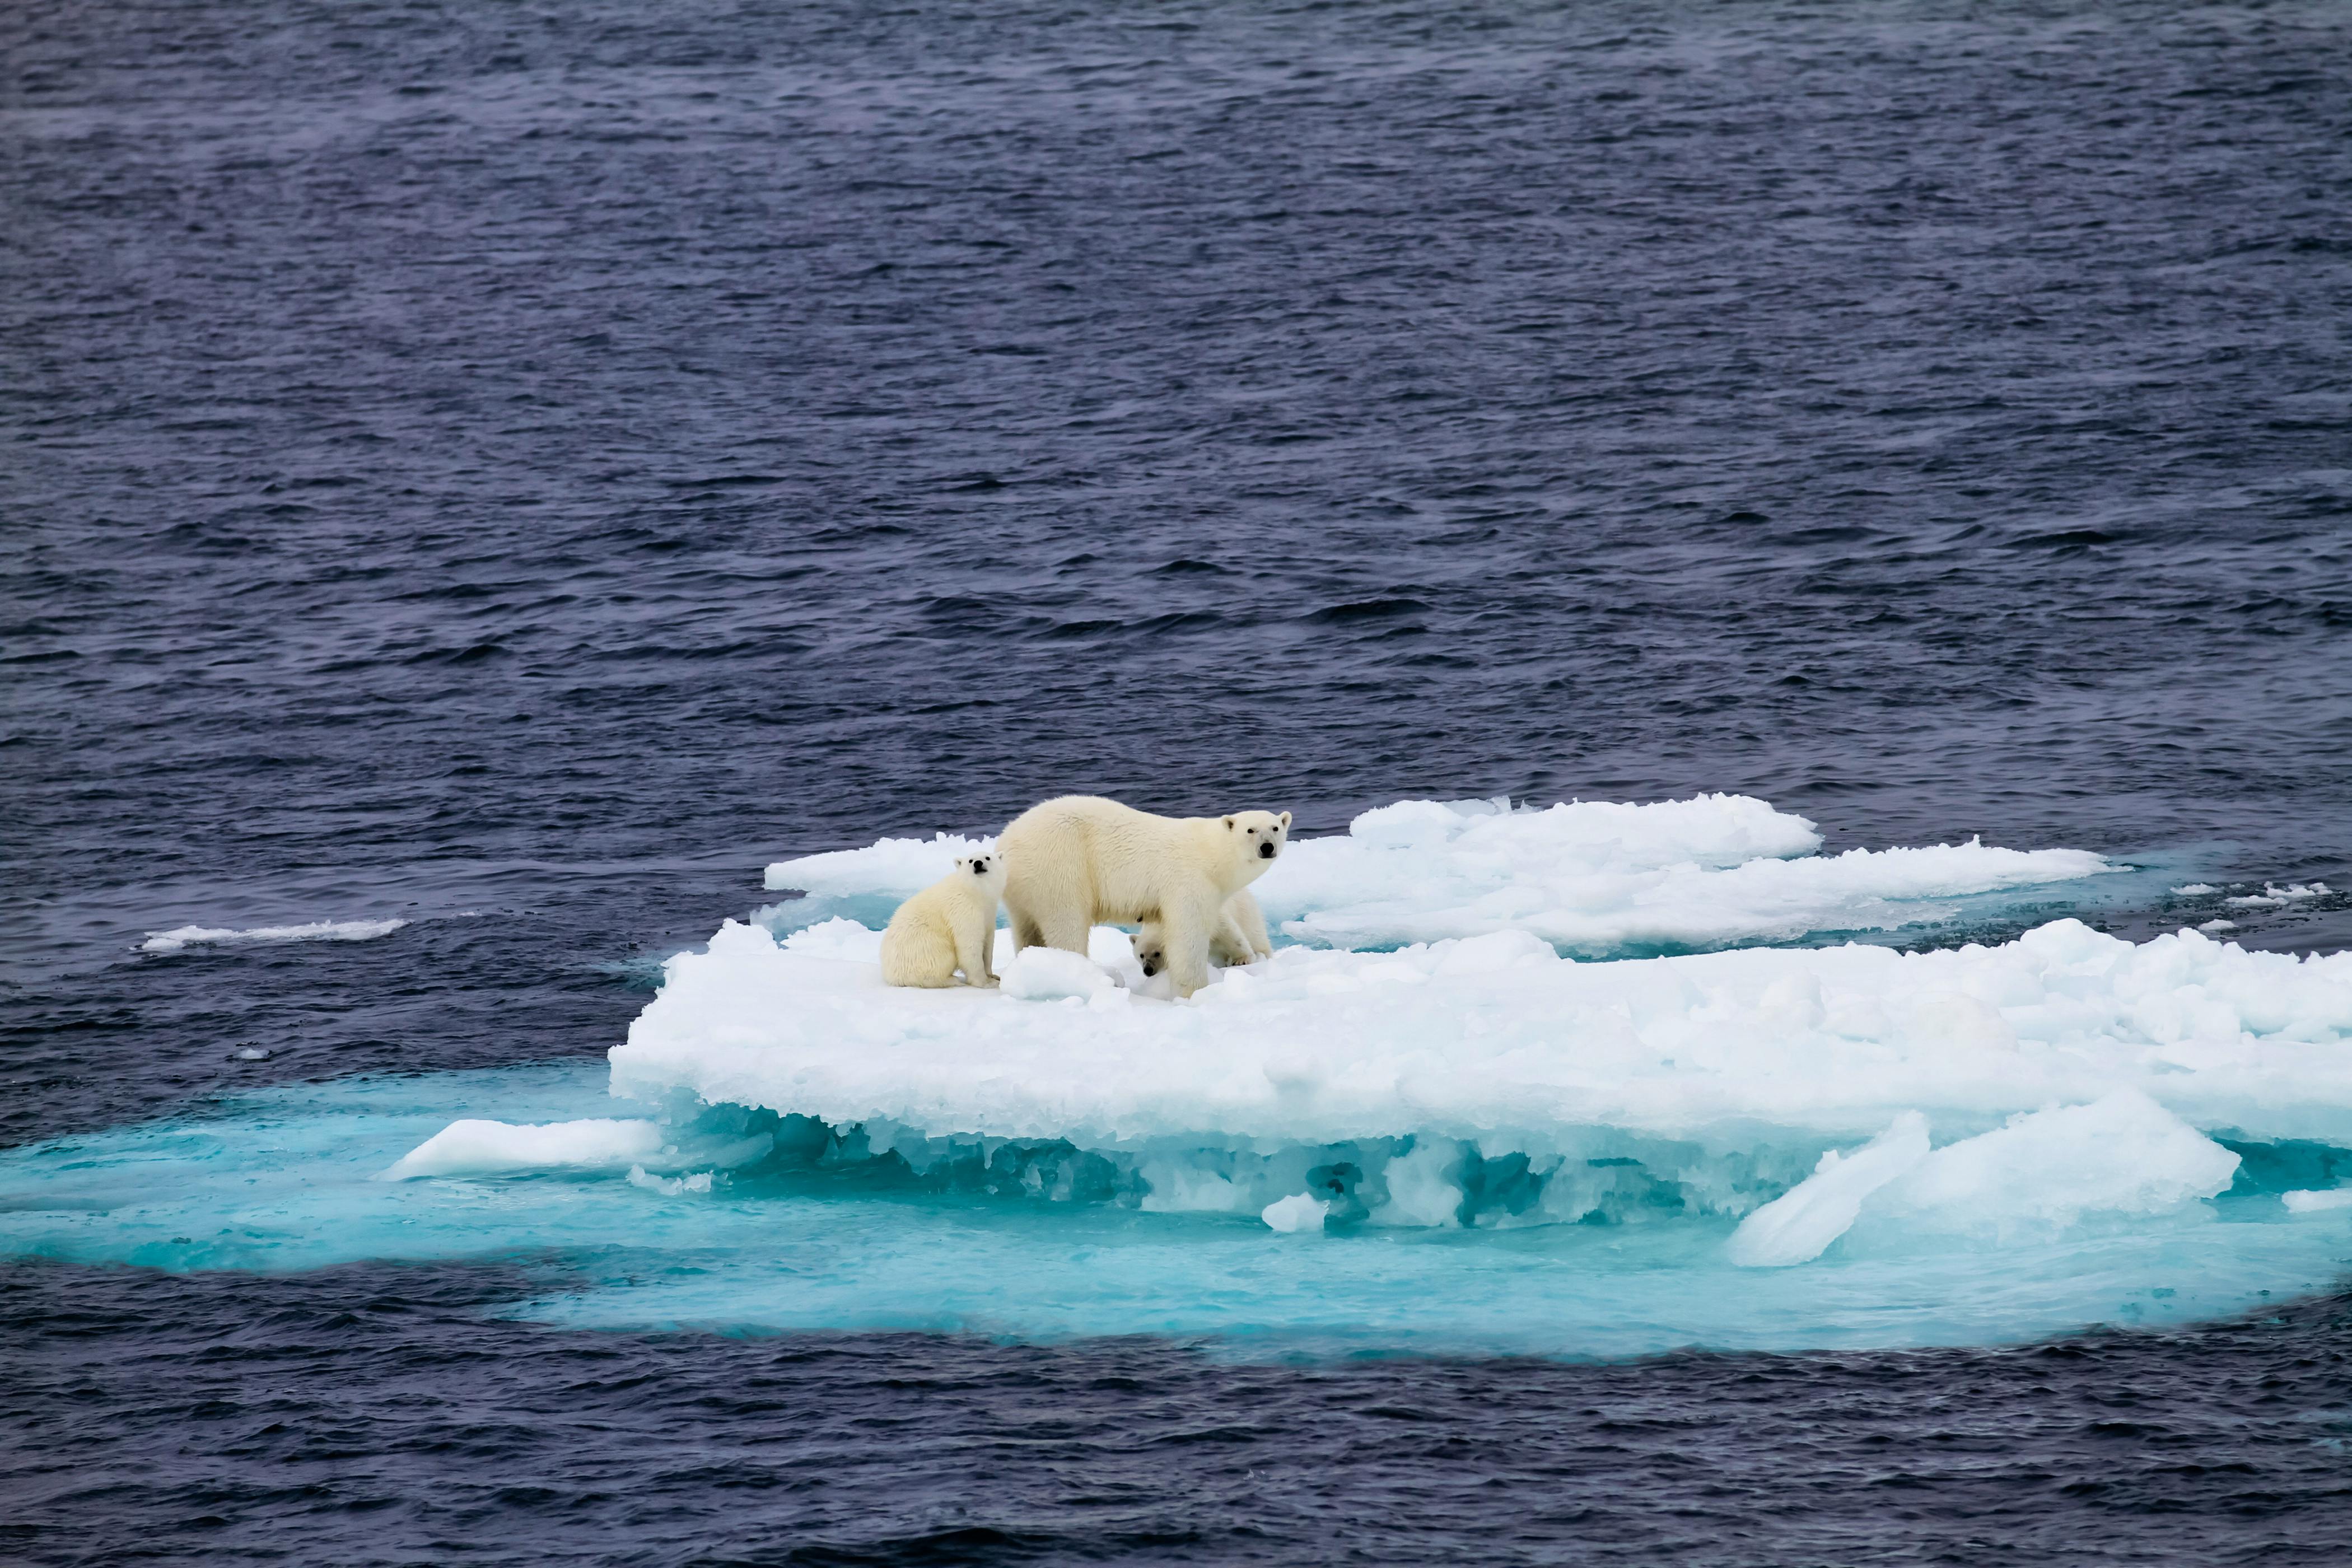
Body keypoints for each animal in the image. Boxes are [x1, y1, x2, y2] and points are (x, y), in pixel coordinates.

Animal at [878, 853, 1006, 989]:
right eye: (970, 861)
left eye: (987, 858)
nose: (978, 863)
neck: (975, 893)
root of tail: (891, 976)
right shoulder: (963, 909)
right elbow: (970, 944)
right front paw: (986, 983)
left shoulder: (989, 912)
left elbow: (988, 943)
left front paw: (993, 976)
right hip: (923, 946)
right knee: (939, 961)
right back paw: (952, 980)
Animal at [1131, 887, 1271, 981]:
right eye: (1141, 955)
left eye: (1157, 953)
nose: (1148, 970)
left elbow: (1228, 934)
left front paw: (1242, 960)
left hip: (1247, 912)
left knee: (1256, 936)